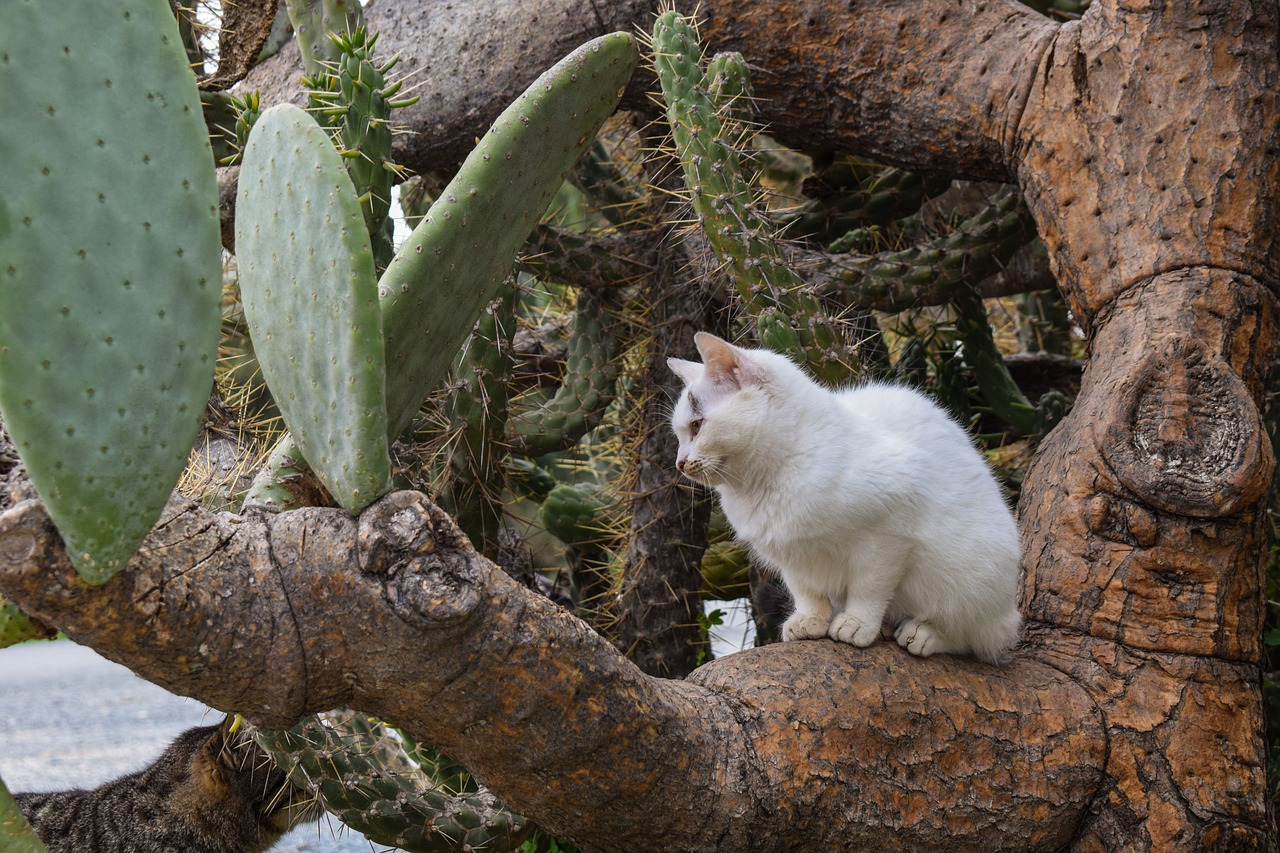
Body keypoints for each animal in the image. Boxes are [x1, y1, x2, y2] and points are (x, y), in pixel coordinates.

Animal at [670, 330, 1018, 655]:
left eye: (698, 426)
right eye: (680, 434)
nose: (679, 463)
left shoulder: (888, 537)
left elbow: (869, 588)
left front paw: (857, 623)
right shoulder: (791, 556)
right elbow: (806, 591)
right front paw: (810, 620)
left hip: (971, 577)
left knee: (975, 635)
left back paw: (923, 634)